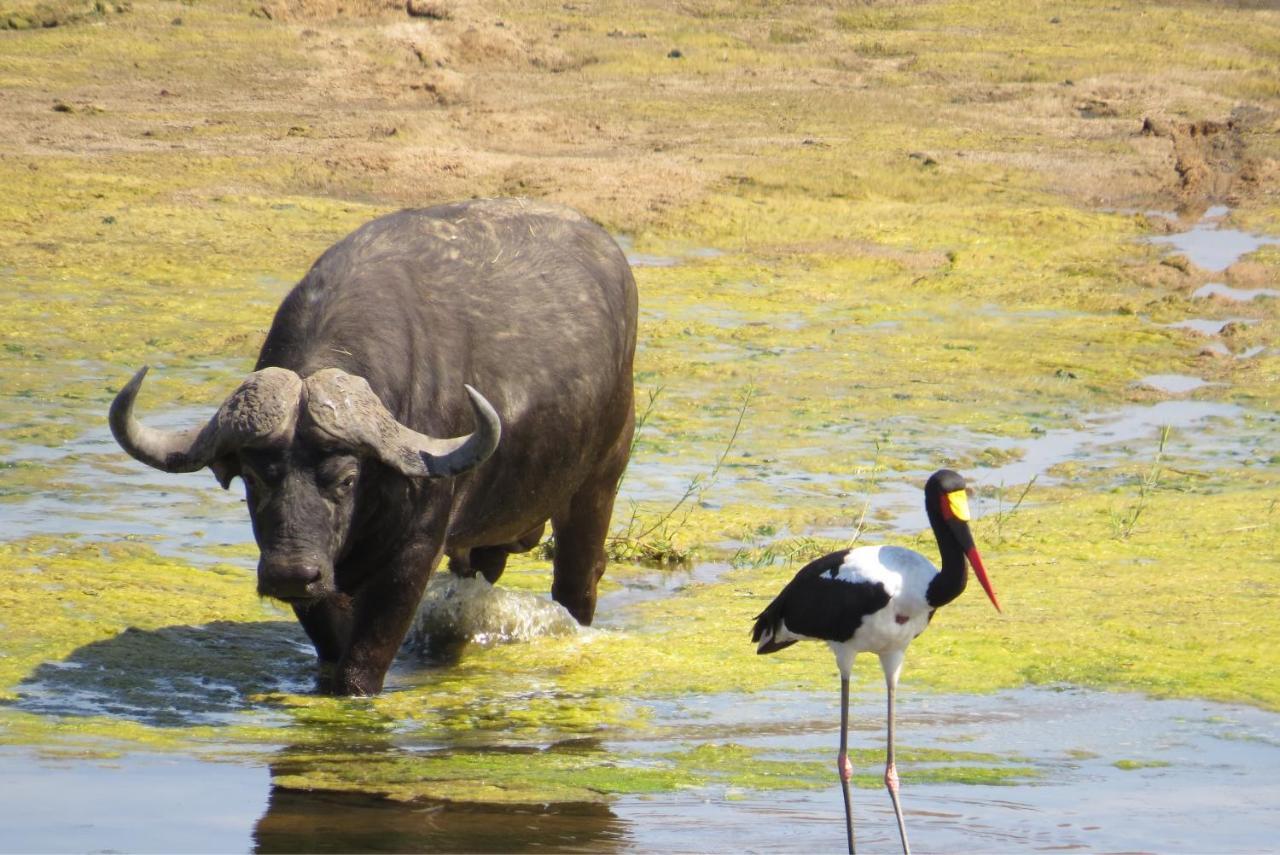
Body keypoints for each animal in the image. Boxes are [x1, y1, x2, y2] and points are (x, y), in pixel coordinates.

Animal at [107, 198, 637, 696]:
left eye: (346, 479)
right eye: (255, 479)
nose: (290, 573)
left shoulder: (414, 552)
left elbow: (365, 657)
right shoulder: (324, 576)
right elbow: (332, 640)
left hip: (597, 486)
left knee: (578, 582)